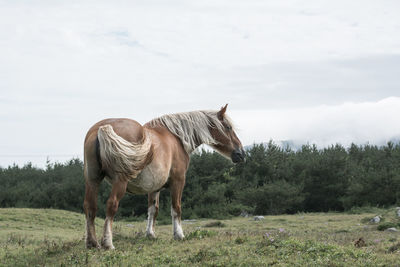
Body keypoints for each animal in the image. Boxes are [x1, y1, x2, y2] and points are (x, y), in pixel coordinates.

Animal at [83, 104, 245, 249]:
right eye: (228, 127)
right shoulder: (178, 181)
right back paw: (108, 243)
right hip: (120, 182)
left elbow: (153, 210)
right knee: (111, 205)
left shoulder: (154, 188)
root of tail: (101, 128)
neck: (177, 137)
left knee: (90, 207)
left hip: (92, 180)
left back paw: (92, 243)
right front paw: (179, 235)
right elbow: (176, 208)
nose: (241, 154)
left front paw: (150, 234)